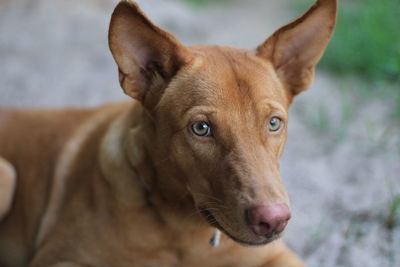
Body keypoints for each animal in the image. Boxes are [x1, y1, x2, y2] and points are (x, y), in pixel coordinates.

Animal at [0, 0, 336, 266]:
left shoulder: (277, 256)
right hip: (7, 174)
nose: (274, 220)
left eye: (274, 123)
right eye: (201, 128)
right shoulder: (59, 258)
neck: (182, 228)